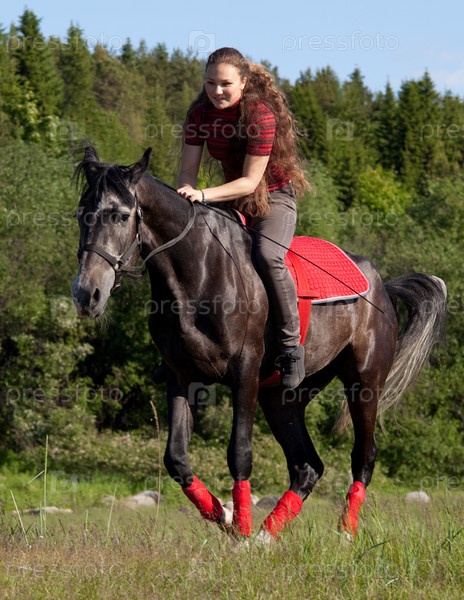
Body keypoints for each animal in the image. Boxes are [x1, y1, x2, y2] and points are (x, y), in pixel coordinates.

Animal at [72, 146, 447, 542]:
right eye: (81, 214)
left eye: (121, 215)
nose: (86, 294)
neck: (198, 271)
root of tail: (382, 286)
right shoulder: (180, 376)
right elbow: (176, 458)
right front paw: (224, 516)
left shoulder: (245, 373)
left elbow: (239, 453)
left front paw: (241, 532)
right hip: (282, 397)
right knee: (307, 466)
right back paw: (268, 535)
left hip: (364, 383)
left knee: (363, 456)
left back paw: (344, 533)